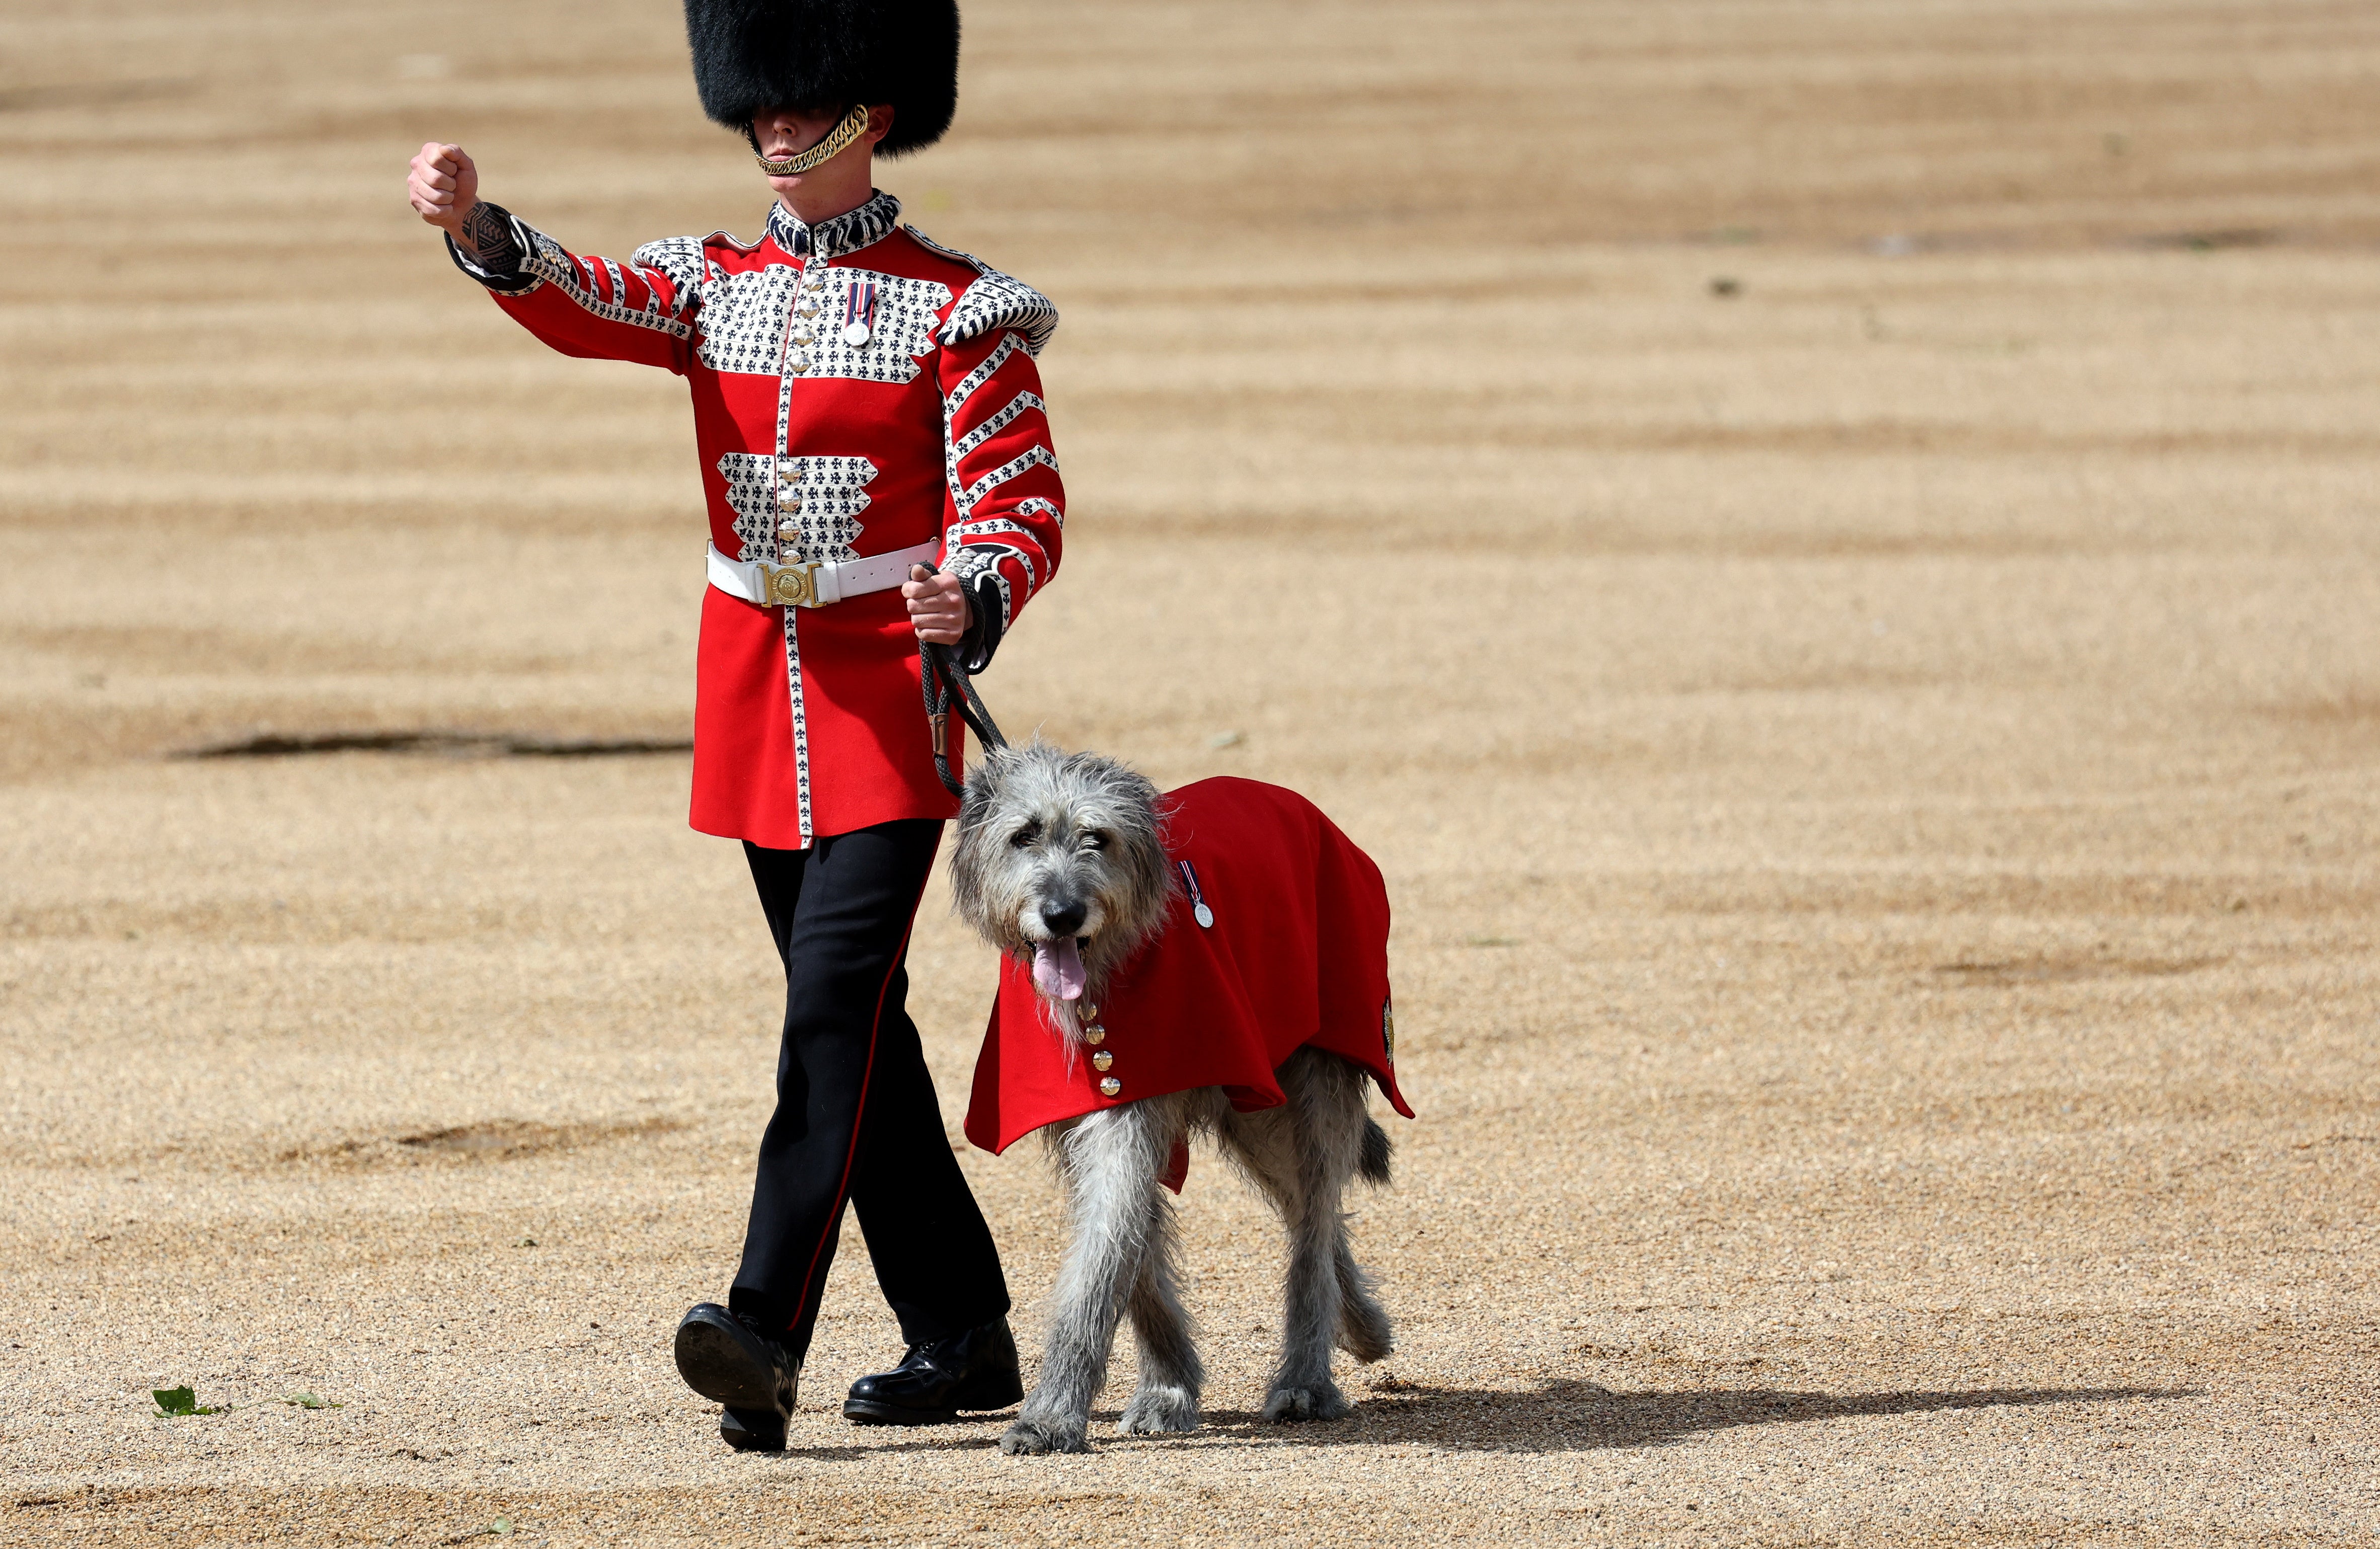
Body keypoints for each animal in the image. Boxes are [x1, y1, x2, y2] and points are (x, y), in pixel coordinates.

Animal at [947, 737, 1390, 1456]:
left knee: (1315, 1219)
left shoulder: (1129, 1104)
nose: (1063, 914)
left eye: (1097, 838)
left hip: (1305, 1078)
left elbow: (1105, 1255)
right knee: (1307, 1210)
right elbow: (1134, 1249)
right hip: (1255, 1110)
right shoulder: (1087, 1114)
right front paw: (1169, 1387)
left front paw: (1053, 1415)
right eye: (1023, 835)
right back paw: (1362, 1326)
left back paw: (1305, 1379)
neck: (1105, 977)